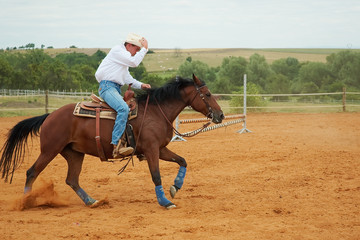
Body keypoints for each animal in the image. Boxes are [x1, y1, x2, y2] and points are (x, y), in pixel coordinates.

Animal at [0, 74, 224, 209]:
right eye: (207, 94)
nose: (220, 115)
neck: (156, 112)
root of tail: (49, 116)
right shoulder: (152, 149)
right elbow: (156, 176)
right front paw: (165, 201)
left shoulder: (160, 149)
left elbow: (182, 161)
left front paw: (175, 187)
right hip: (50, 150)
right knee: (32, 172)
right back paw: (25, 202)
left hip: (74, 153)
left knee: (72, 179)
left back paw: (92, 201)